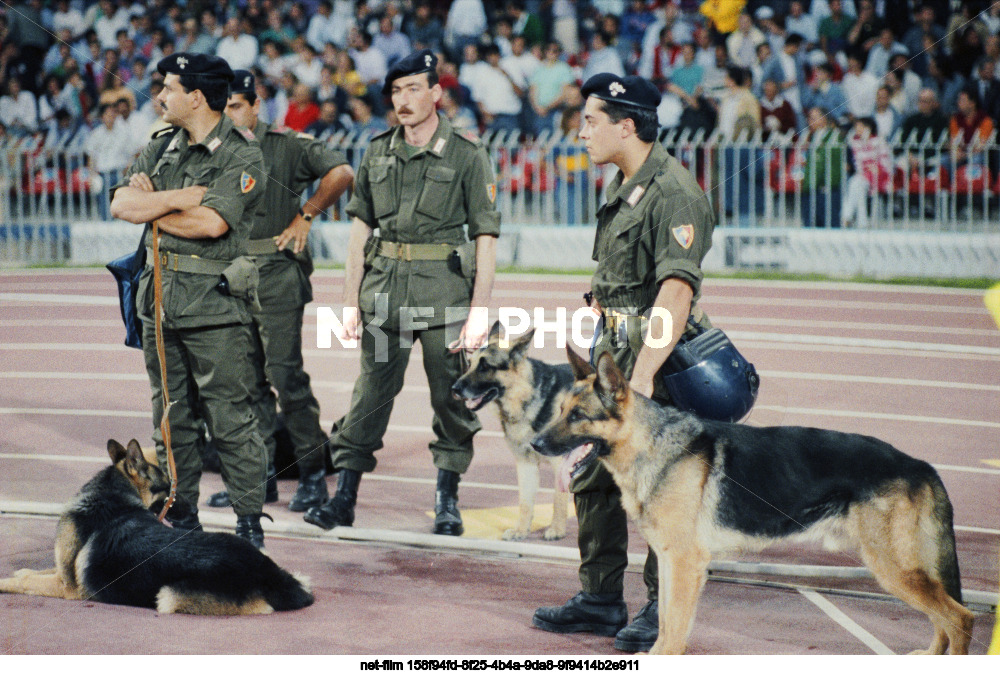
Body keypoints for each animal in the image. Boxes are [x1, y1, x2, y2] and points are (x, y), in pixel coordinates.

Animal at [0, 438, 312, 612]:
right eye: (171, 487)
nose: (194, 509)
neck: (112, 494)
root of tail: (268, 573)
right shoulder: (61, 574)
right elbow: (33, 571)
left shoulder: (68, 587)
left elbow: (26, 580)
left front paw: (8, 582)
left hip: (168, 596)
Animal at [454, 322, 572, 540]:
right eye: (470, 363)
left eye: (485, 366)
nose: (454, 389)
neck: (526, 395)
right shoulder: (525, 464)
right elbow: (525, 503)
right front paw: (521, 530)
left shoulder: (561, 464)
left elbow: (558, 500)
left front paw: (557, 529)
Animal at [532, 350, 976, 652]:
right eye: (560, 410)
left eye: (578, 416)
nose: (534, 443)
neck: (651, 444)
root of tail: (919, 464)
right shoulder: (674, 563)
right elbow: (668, 623)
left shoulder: (686, 564)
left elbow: (672, 631)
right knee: (943, 619)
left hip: (893, 568)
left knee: (961, 617)